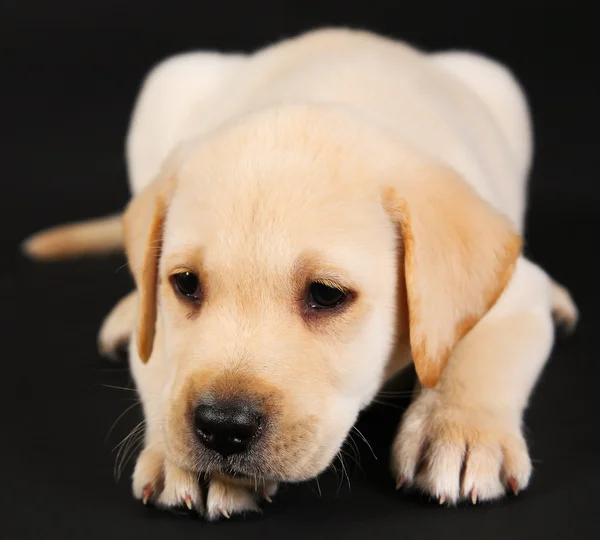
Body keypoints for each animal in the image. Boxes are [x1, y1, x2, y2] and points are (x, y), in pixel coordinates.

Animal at [23, 28, 576, 520]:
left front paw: (460, 430)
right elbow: (161, 365)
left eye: (326, 295)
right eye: (185, 285)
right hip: (169, 83)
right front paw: (183, 462)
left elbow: (483, 346)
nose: (222, 427)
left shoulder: (512, 289)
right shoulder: (161, 323)